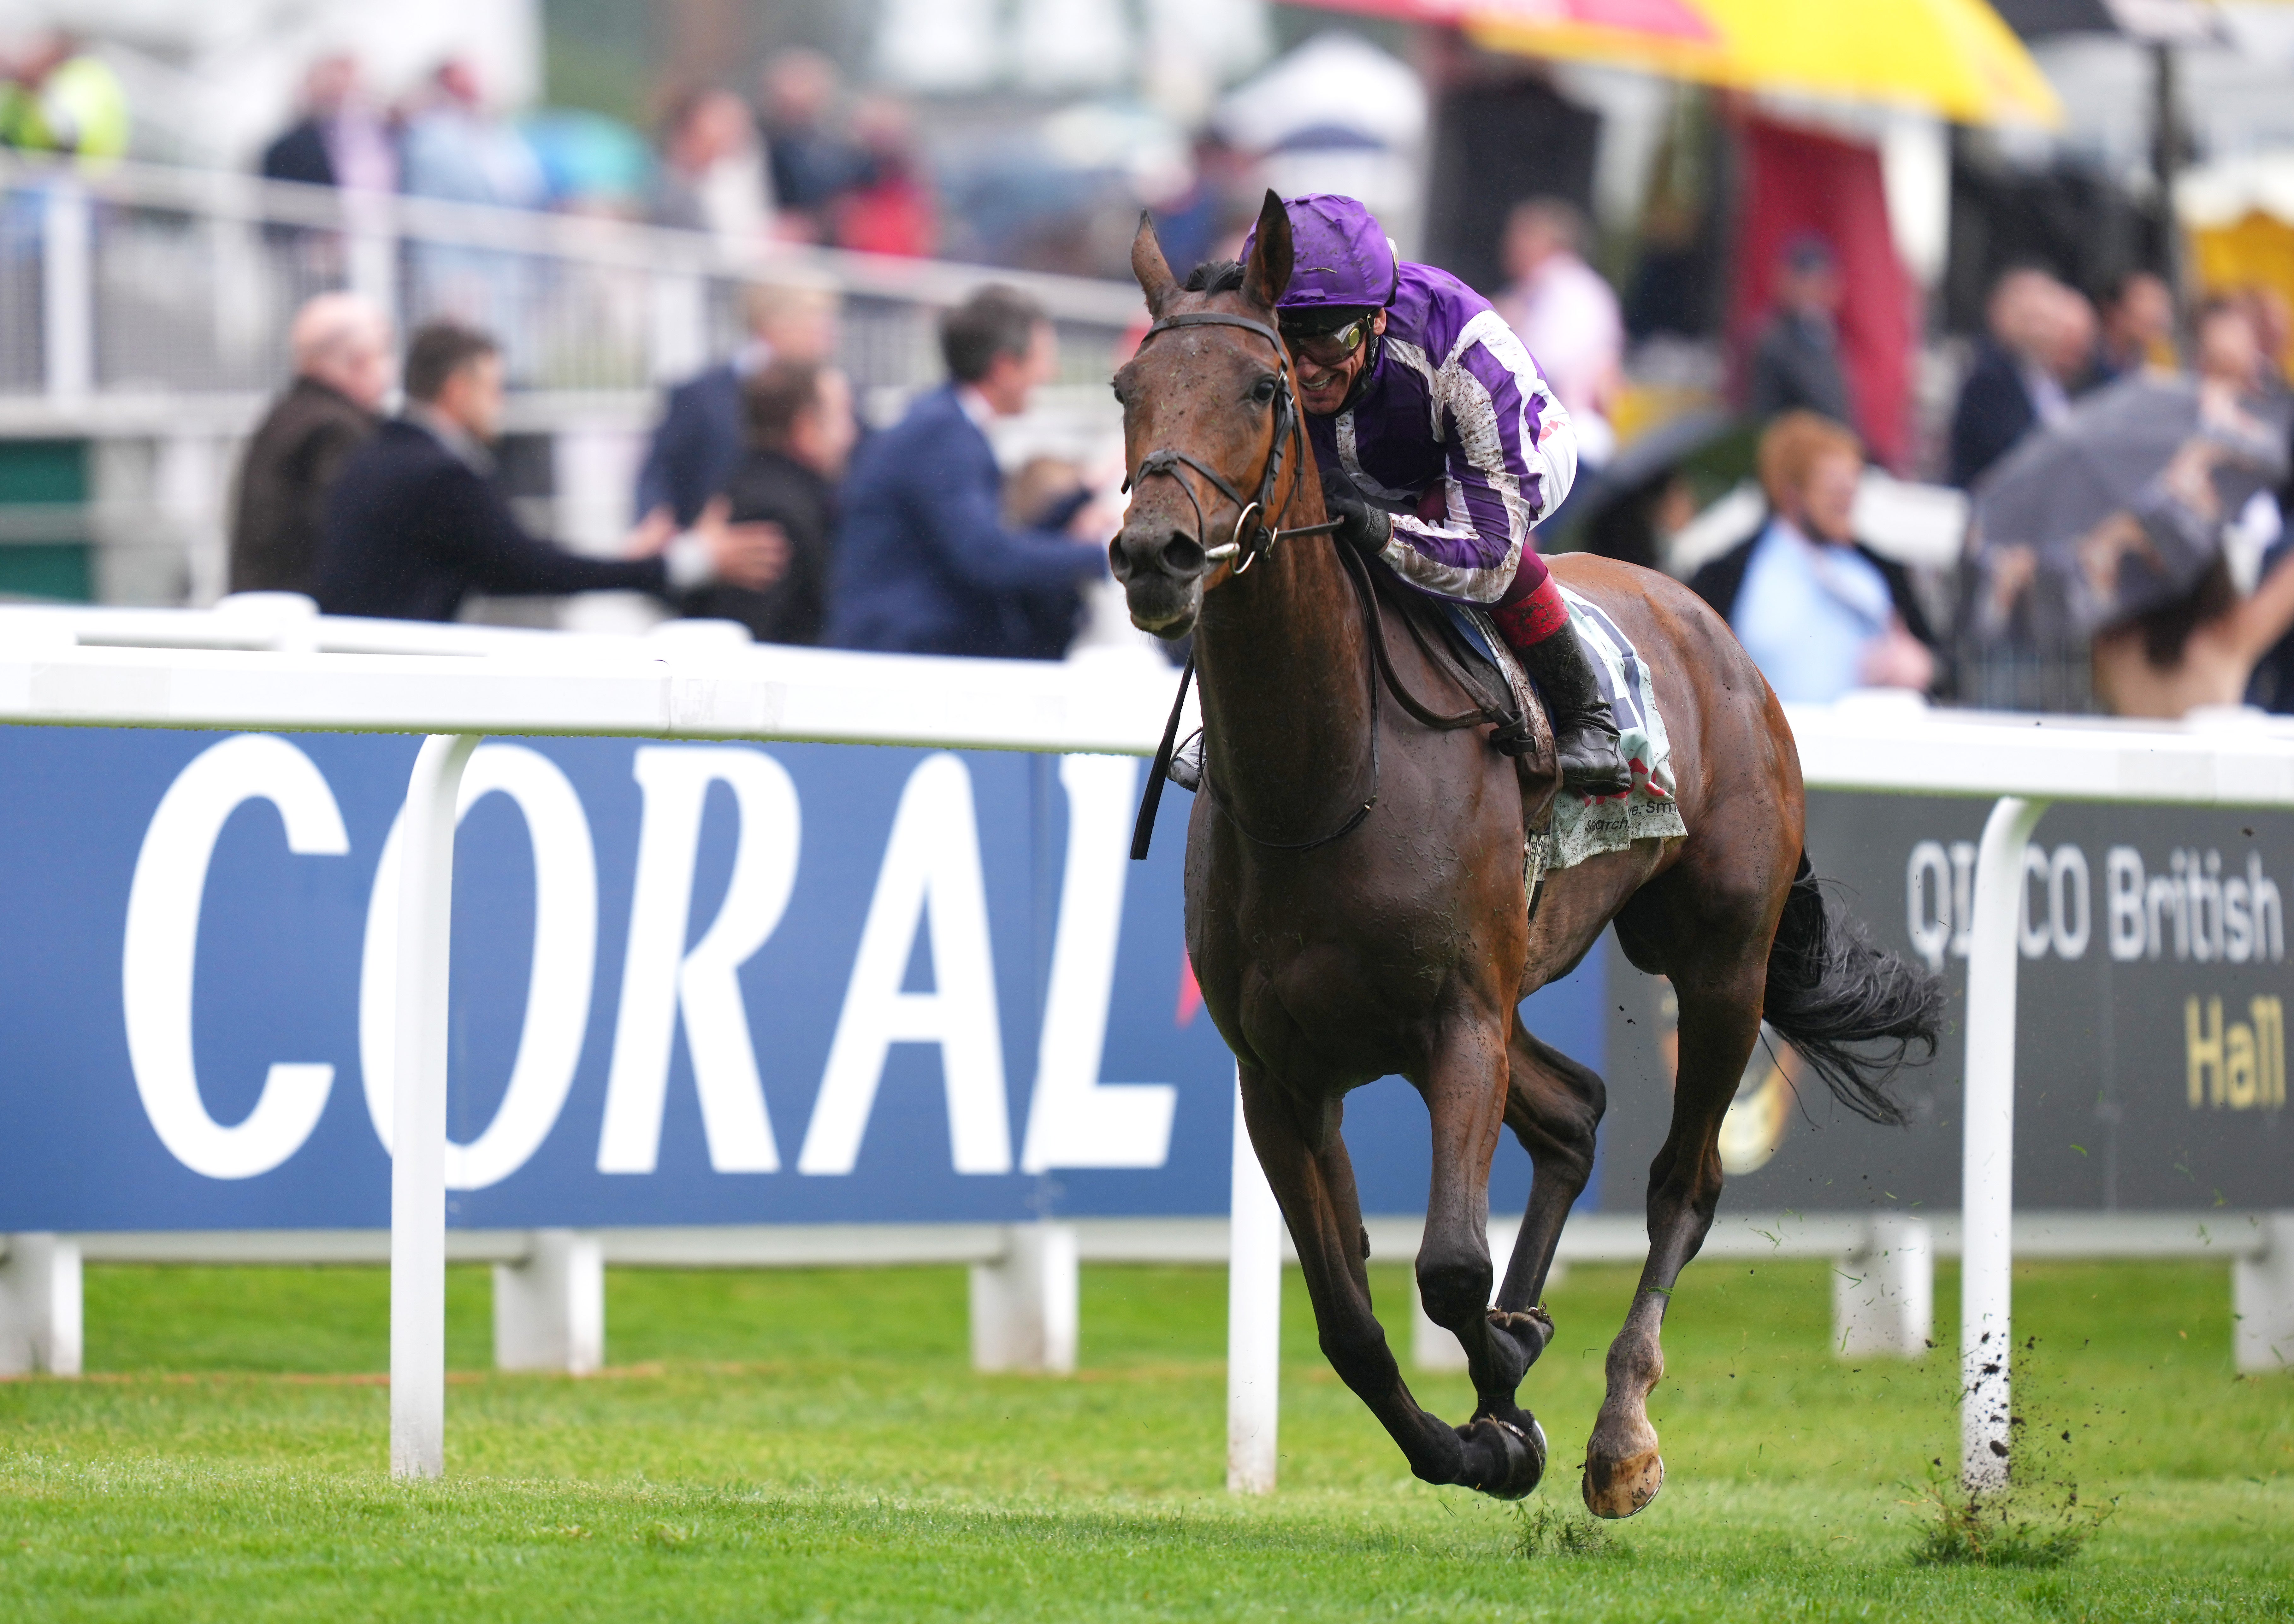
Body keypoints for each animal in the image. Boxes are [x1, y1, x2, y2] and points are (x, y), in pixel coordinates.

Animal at [1106, 196, 1936, 1514]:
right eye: (1126, 385)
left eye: (1261, 385)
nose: (1155, 554)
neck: (1324, 776)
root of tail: (1711, 621)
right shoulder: (1283, 1071)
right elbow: (1350, 1316)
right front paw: (1482, 1426)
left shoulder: (1456, 1024)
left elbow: (1449, 1265)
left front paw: (1512, 1377)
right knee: (1577, 1110)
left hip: (1717, 962)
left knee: (1682, 1180)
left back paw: (1619, 1429)